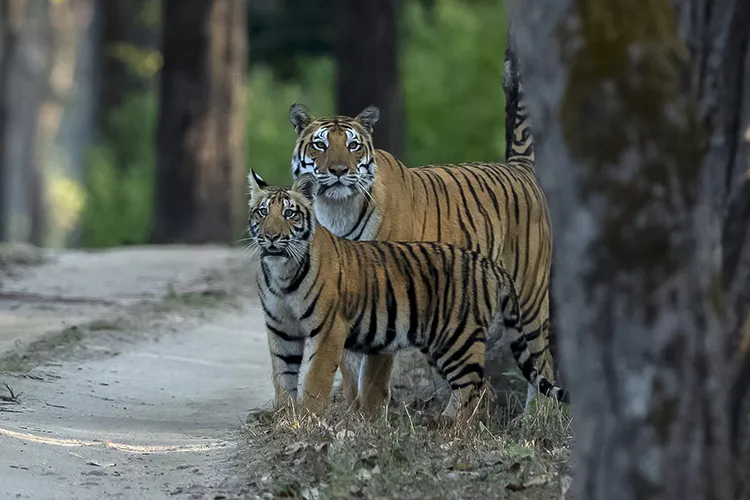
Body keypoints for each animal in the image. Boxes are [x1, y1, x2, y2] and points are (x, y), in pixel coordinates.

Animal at [247, 170, 568, 420]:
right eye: (262, 212)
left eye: (289, 213)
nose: (272, 236)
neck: (281, 271)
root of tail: (488, 264)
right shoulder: (281, 329)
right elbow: (282, 376)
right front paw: (285, 418)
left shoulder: (328, 329)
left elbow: (315, 379)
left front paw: (307, 421)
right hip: (442, 343)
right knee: (477, 388)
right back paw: (445, 424)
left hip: (458, 338)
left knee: (475, 388)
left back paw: (452, 434)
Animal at [290, 52, 556, 416]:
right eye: (320, 145)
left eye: (354, 146)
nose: (340, 171)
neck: (336, 209)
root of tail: (519, 168)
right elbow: (348, 364)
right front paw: (351, 413)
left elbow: (373, 368)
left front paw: (370, 415)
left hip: (529, 296)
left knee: (541, 361)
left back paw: (534, 417)